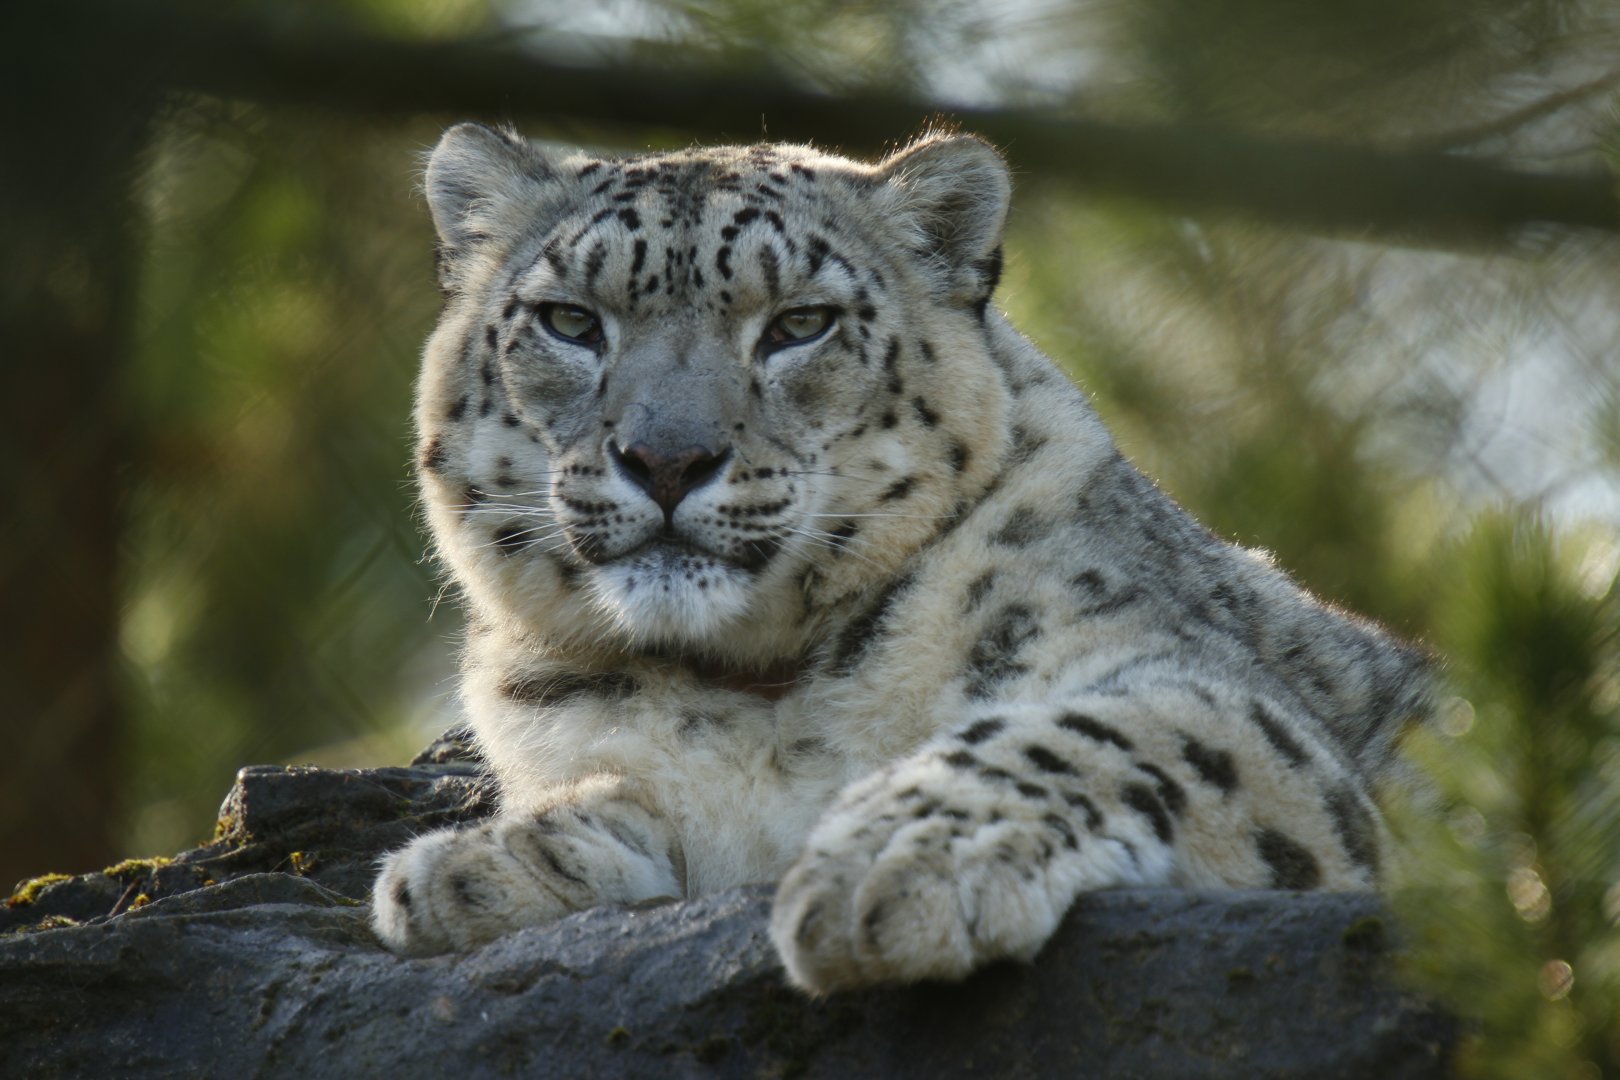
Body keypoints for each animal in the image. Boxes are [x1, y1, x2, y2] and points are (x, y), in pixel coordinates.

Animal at [370, 122, 1431, 993]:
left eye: (801, 323)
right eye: (571, 320)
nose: (667, 459)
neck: (758, 690)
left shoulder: (1199, 690)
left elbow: (1088, 734)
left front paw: (895, 865)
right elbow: (649, 806)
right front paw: (481, 865)